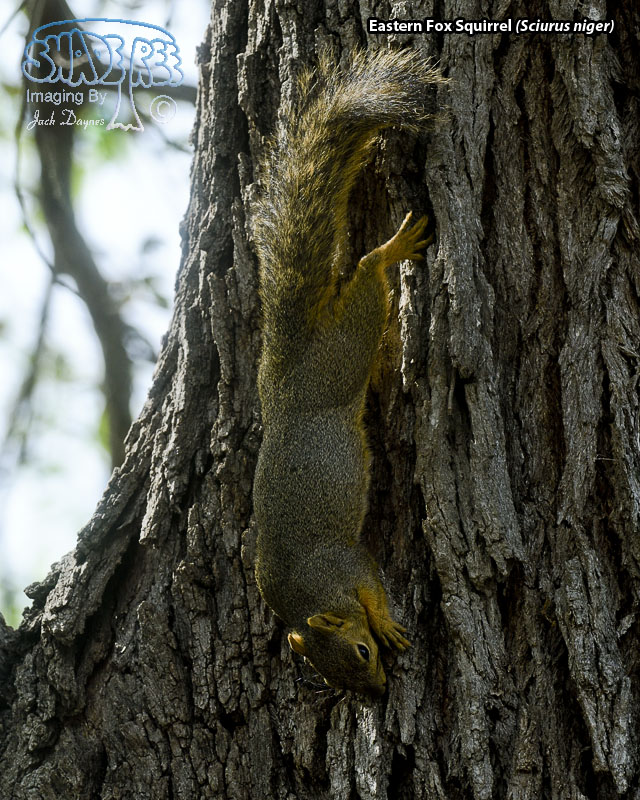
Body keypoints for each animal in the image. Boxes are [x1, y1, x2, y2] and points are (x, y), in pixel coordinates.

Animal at [252, 49, 441, 696]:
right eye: (334, 676)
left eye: (360, 653)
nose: (379, 692)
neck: (308, 597)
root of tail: (287, 376)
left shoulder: (347, 561)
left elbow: (374, 587)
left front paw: (385, 622)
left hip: (347, 347)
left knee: (365, 271)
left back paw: (391, 249)